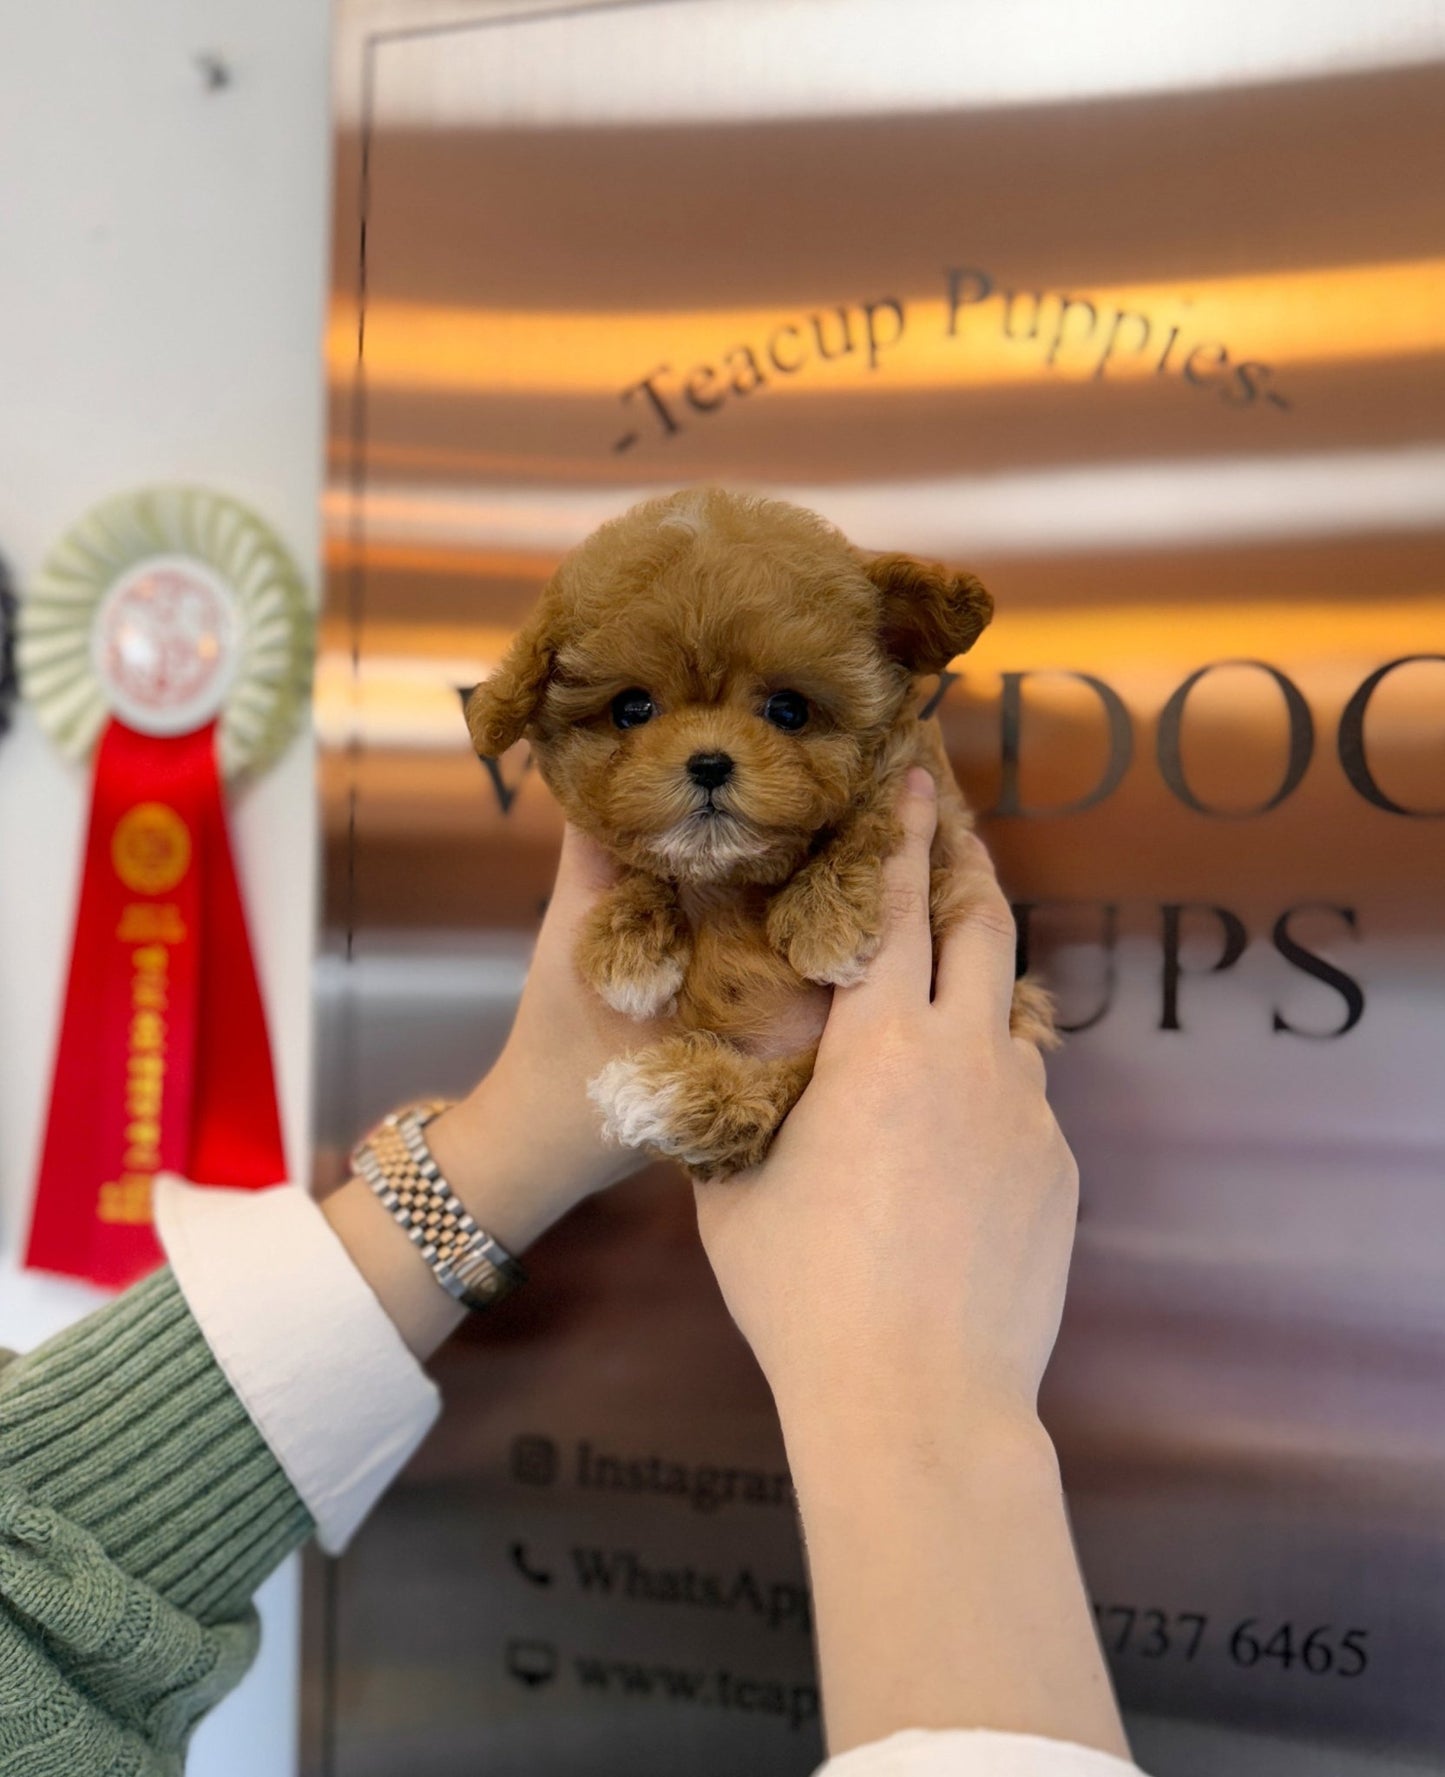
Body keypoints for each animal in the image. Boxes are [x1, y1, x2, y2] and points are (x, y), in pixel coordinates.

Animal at [469, 490, 1052, 1179]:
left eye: (789, 710)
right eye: (632, 709)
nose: (709, 763)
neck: (730, 876)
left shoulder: (930, 809)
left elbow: (869, 815)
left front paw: (826, 922)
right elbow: (638, 864)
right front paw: (628, 946)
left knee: (786, 1089)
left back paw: (675, 1095)